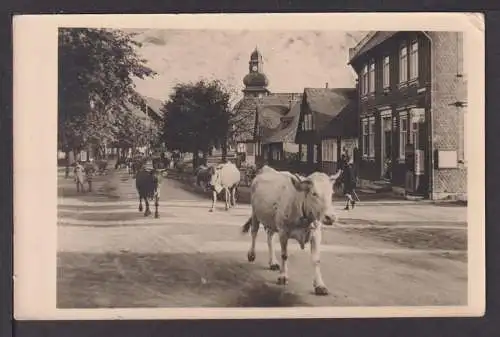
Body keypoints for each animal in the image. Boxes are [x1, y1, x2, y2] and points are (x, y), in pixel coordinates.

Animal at [241, 165, 342, 294]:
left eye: (331, 193)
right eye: (314, 193)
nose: (331, 217)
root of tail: (266, 169)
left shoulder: (316, 234)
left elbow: (316, 260)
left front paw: (320, 285)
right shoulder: (283, 232)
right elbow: (284, 255)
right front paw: (283, 276)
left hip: (272, 221)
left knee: (270, 238)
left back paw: (273, 262)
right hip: (255, 213)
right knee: (254, 232)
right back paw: (252, 254)